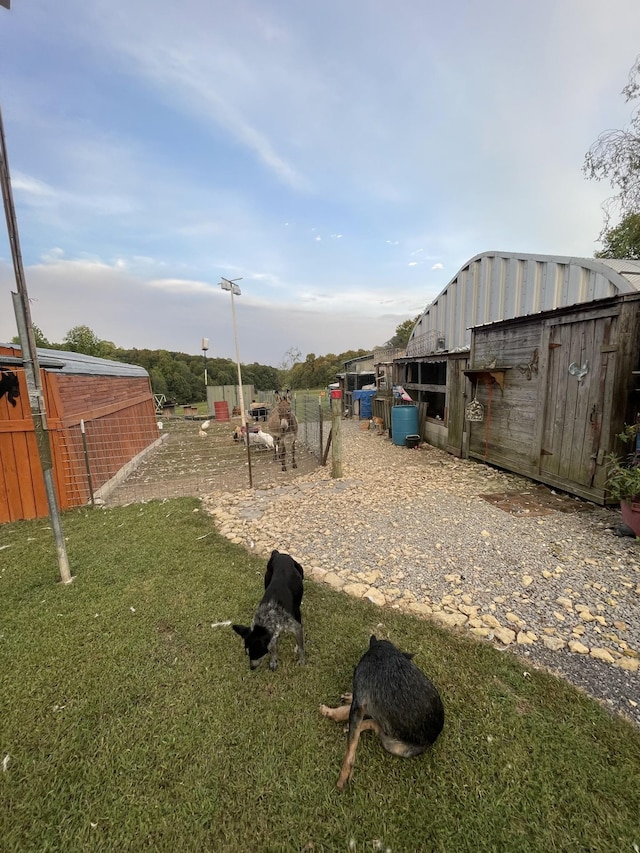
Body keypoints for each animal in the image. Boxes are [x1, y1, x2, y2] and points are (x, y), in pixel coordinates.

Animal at [322, 636, 442, 788]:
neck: (386, 653)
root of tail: (435, 737)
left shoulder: (360, 702)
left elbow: (350, 748)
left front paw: (343, 776)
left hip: (392, 745)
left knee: (374, 726)